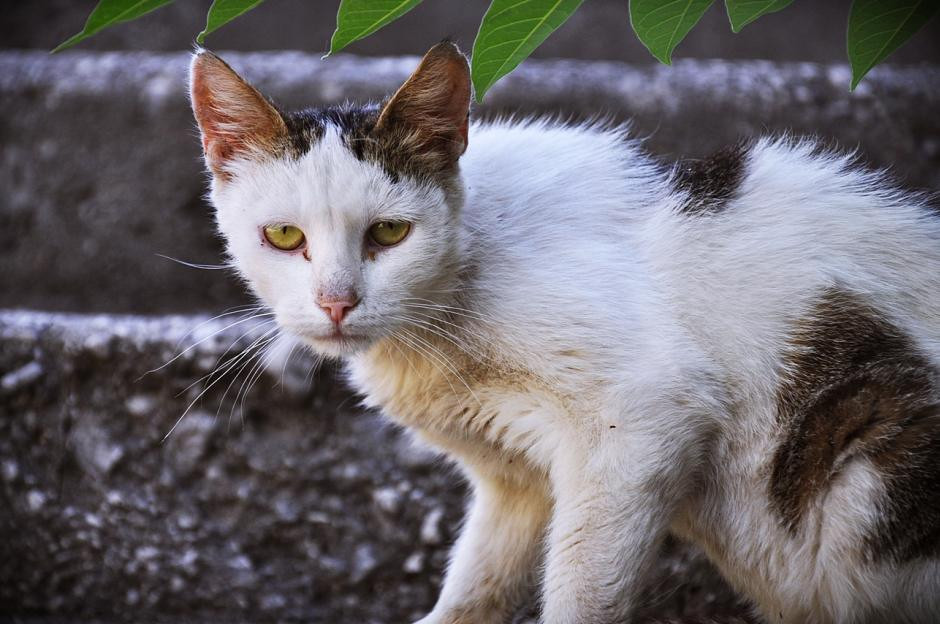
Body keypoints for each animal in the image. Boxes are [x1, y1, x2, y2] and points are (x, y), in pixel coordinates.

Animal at [189, 41, 940, 620]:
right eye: (285, 237)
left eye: (390, 233)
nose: (337, 302)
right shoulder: (514, 477)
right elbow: (477, 586)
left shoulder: (643, 415)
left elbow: (583, 589)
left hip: (875, 448)